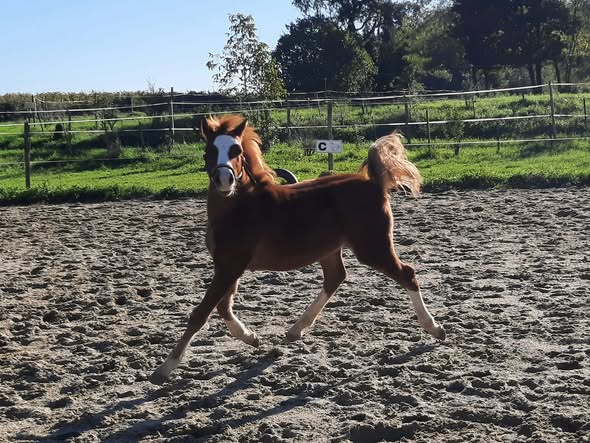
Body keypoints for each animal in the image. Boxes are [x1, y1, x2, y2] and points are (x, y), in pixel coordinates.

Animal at [150, 115, 446, 385]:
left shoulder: (230, 266)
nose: (225, 179)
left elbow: (201, 313)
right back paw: (295, 331)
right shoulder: (227, 267)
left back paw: (434, 328)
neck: (240, 207)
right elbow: (223, 307)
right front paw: (252, 338)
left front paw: (164, 369)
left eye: (236, 151)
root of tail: (373, 181)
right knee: (336, 277)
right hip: (330, 249)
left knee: (407, 274)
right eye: (208, 152)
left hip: (372, 247)